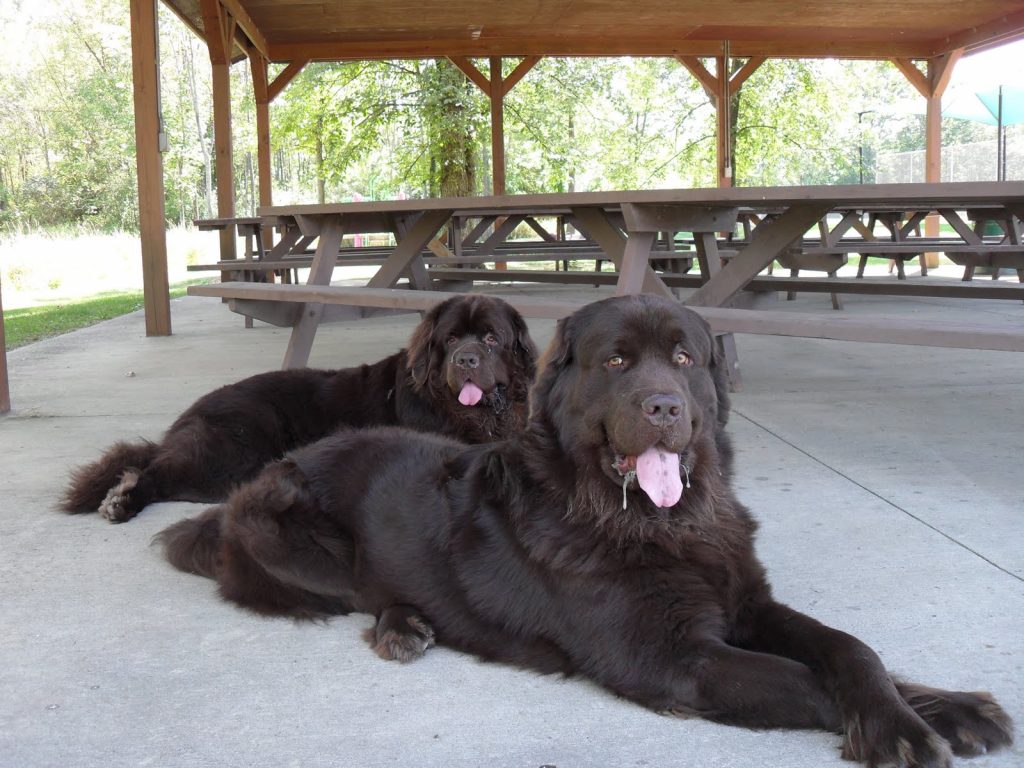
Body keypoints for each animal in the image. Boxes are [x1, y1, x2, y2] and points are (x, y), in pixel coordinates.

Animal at [60, 294, 536, 524]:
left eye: (491, 339)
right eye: (451, 340)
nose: (466, 360)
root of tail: (191, 411)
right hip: (229, 454)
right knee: (157, 471)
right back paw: (122, 501)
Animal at [157, 296, 1007, 768]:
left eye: (684, 358)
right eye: (618, 362)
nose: (664, 406)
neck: (655, 520)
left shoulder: (748, 601)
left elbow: (851, 650)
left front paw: (941, 708)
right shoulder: (672, 658)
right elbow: (804, 679)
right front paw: (904, 730)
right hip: (309, 550)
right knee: (360, 592)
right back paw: (402, 625)